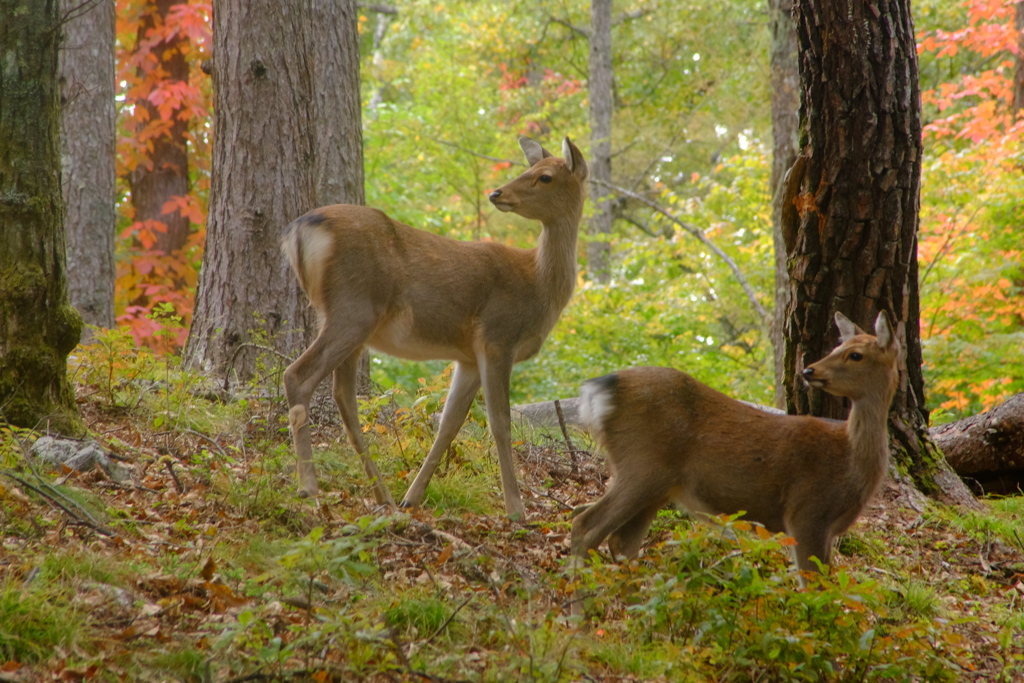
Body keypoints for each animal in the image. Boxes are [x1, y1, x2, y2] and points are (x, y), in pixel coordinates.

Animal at [280, 135, 589, 518]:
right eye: (532, 171)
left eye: (544, 176)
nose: (496, 193)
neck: (538, 284)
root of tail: (299, 229)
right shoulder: (497, 337)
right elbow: (501, 423)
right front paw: (516, 508)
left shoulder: (468, 356)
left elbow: (449, 424)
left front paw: (413, 496)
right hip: (353, 309)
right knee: (298, 375)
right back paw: (308, 486)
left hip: (346, 319)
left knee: (344, 397)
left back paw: (384, 495)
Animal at [573, 313, 901, 589]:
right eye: (839, 347)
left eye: (855, 354)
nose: (809, 370)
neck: (850, 461)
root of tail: (600, 390)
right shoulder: (808, 512)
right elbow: (814, 587)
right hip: (642, 464)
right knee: (586, 526)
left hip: (657, 484)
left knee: (621, 542)